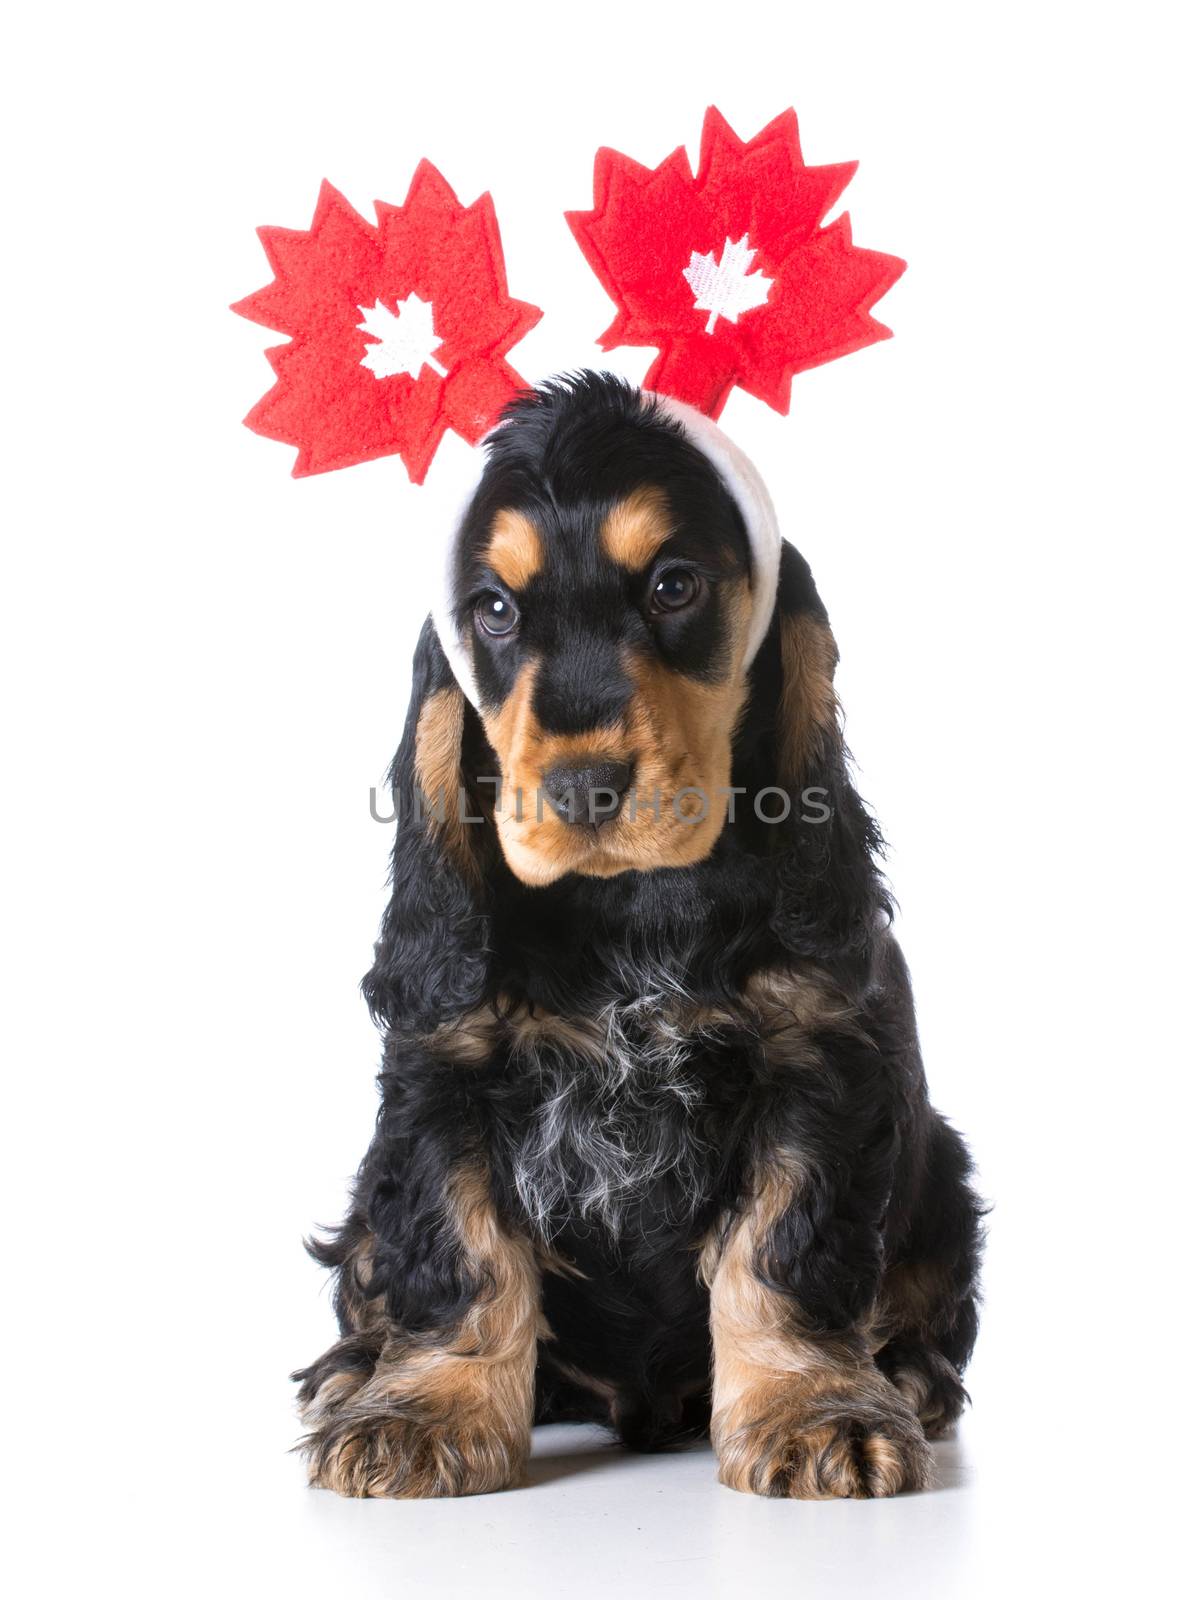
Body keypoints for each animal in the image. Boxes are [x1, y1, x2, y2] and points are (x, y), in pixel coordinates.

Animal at [292, 368, 979, 1491]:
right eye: (492, 609)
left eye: (673, 587)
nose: (581, 786)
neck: (629, 909)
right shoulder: (442, 1072)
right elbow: (459, 1248)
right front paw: (425, 1411)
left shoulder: (815, 1063)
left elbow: (781, 1247)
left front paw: (811, 1409)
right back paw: (354, 1372)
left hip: (943, 1177)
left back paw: (909, 1375)